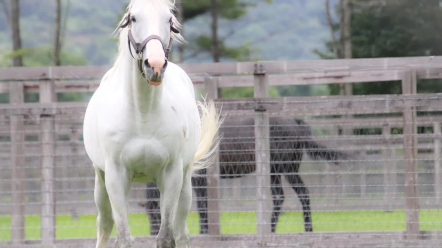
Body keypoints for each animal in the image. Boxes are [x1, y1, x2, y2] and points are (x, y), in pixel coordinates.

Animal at [82, 0, 220, 247]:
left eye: (170, 21)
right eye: (133, 18)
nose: (155, 65)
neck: (143, 112)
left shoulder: (171, 174)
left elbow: (166, 237)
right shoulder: (116, 175)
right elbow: (124, 238)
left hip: (184, 184)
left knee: (181, 232)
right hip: (102, 181)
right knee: (105, 225)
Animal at [140, 117, 350, 235]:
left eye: (155, 211)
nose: (152, 233)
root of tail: (296, 124)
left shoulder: (200, 180)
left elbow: (202, 207)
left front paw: (204, 232)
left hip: (285, 169)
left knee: (301, 194)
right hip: (276, 171)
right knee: (282, 196)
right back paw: (274, 229)